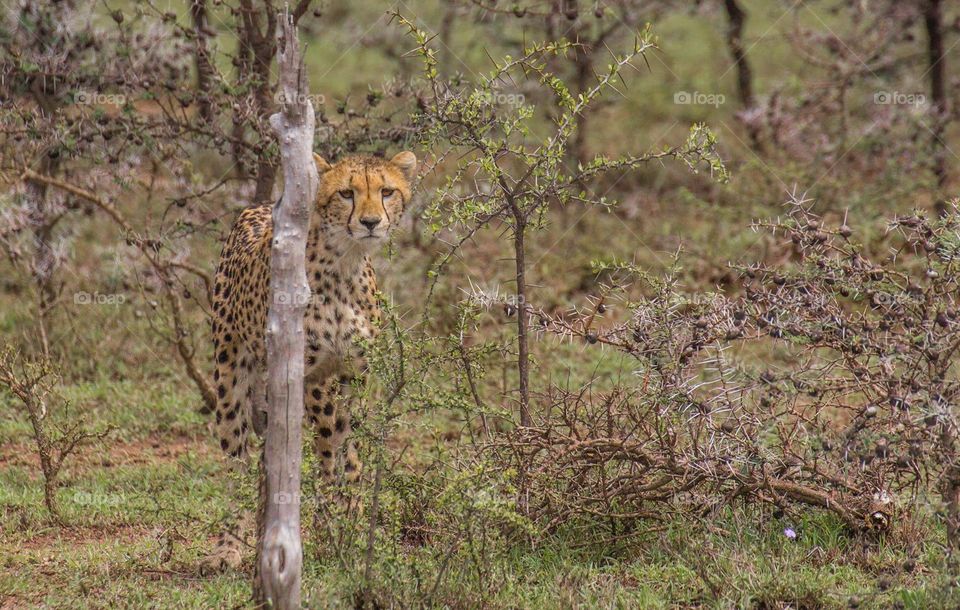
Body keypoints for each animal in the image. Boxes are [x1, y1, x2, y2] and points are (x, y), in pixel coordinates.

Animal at [202, 151, 417, 572]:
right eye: (347, 193)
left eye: (386, 191)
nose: (370, 222)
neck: (345, 263)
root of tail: (258, 207)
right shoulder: (311, 375)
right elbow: (331, 448)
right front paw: (329, 528)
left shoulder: (358, 375)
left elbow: (351, 452)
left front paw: (350, 523)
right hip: (230, 371)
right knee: (237, 458)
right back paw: (230, 545)